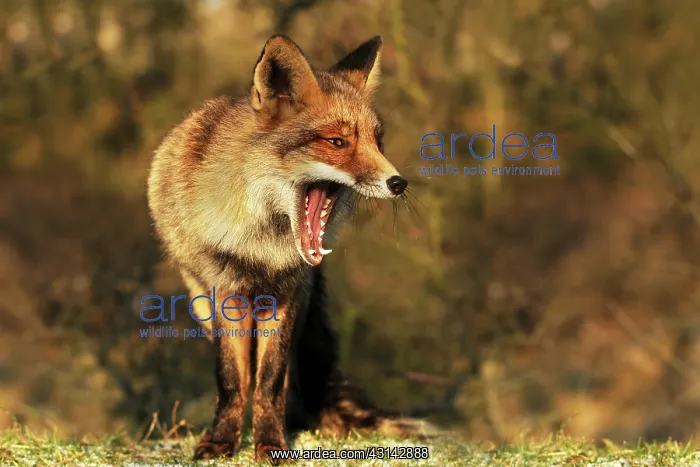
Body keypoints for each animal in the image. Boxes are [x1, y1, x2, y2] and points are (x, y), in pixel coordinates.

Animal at [147, 34, 434, 462]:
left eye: (377, 142)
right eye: (337, 142)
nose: (398, 183)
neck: (261, 245)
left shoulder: (287, 294)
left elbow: (270, 381)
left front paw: (271, 443)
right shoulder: (227, 292)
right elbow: (233, 379)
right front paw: (222, 440)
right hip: (201, 304)